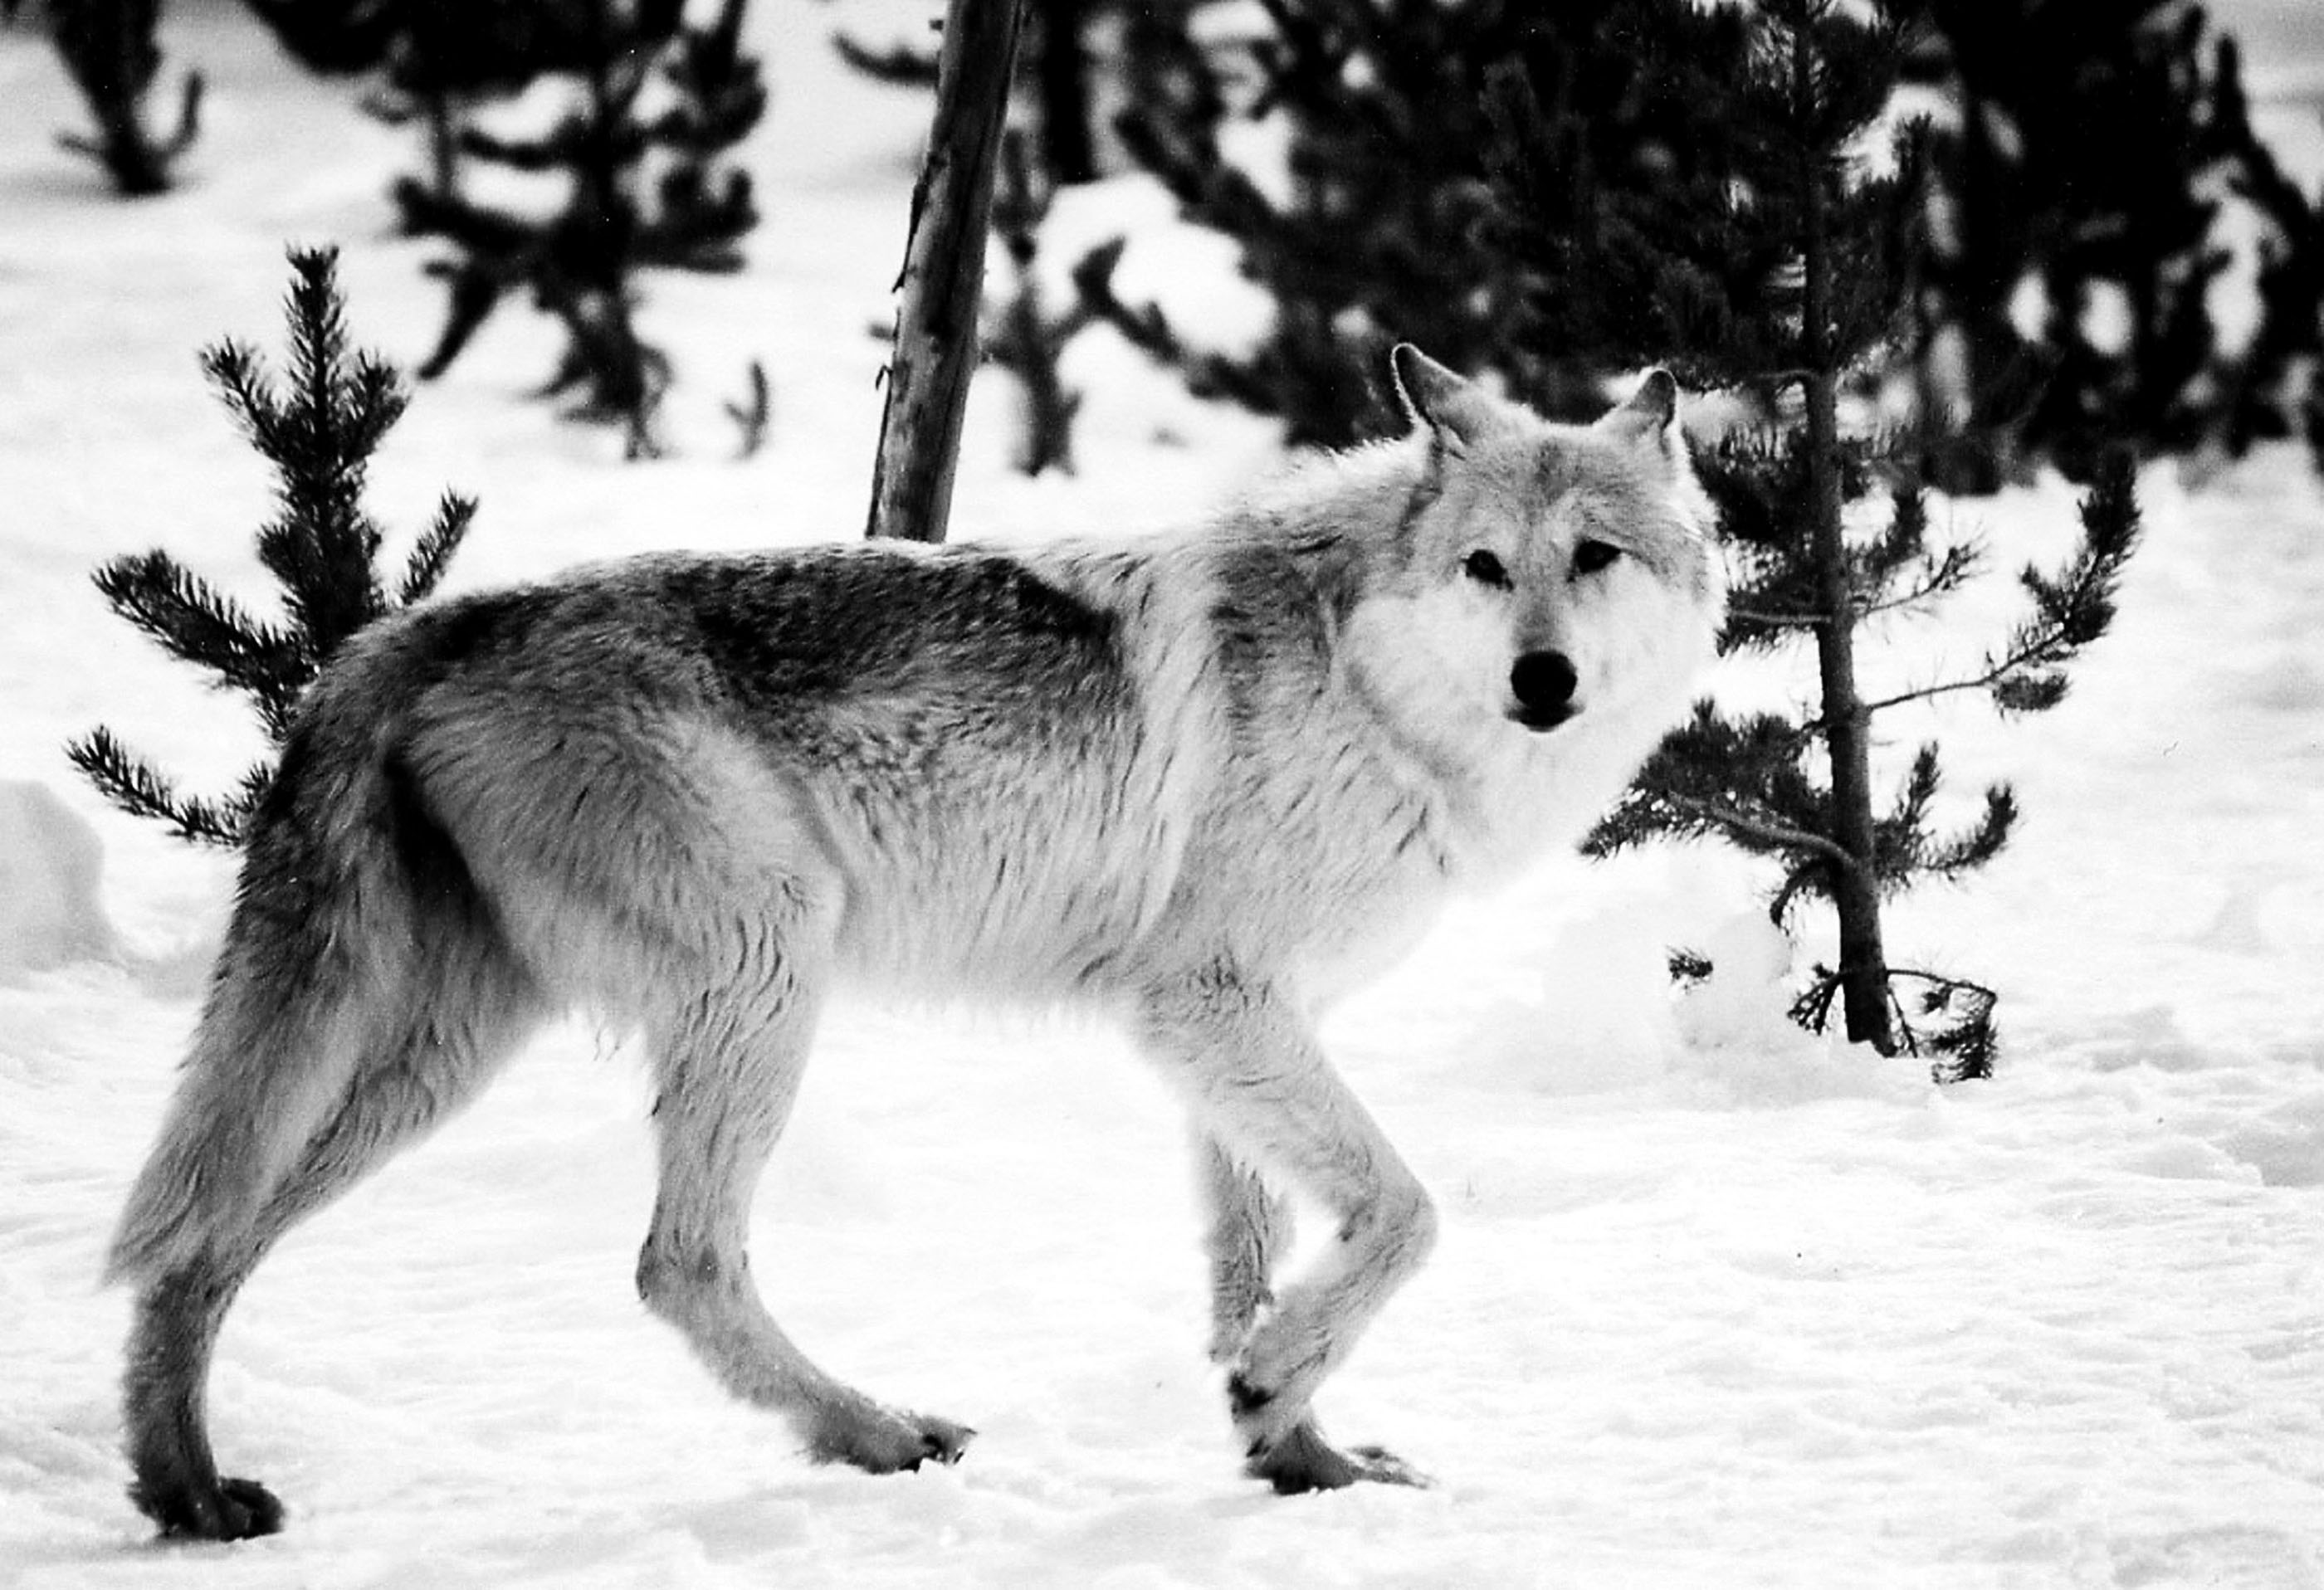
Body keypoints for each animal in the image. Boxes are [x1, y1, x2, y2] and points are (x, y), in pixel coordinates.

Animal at [105, 345, 1722, 1538]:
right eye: (1486, 567)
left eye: (1593, 557)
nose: (1544, 679)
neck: (1364, 679)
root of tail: (408, 632)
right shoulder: (1207, 1003)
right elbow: (1405, 1215)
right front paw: (1272, 1395)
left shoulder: (1234, 1025)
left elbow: (1255, 1260)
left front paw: (1296, 1455)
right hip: (764, 968)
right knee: (676, 1264)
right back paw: (875, 1434)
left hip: (444, 1052)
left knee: (199, 1241)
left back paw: (185, 1492)